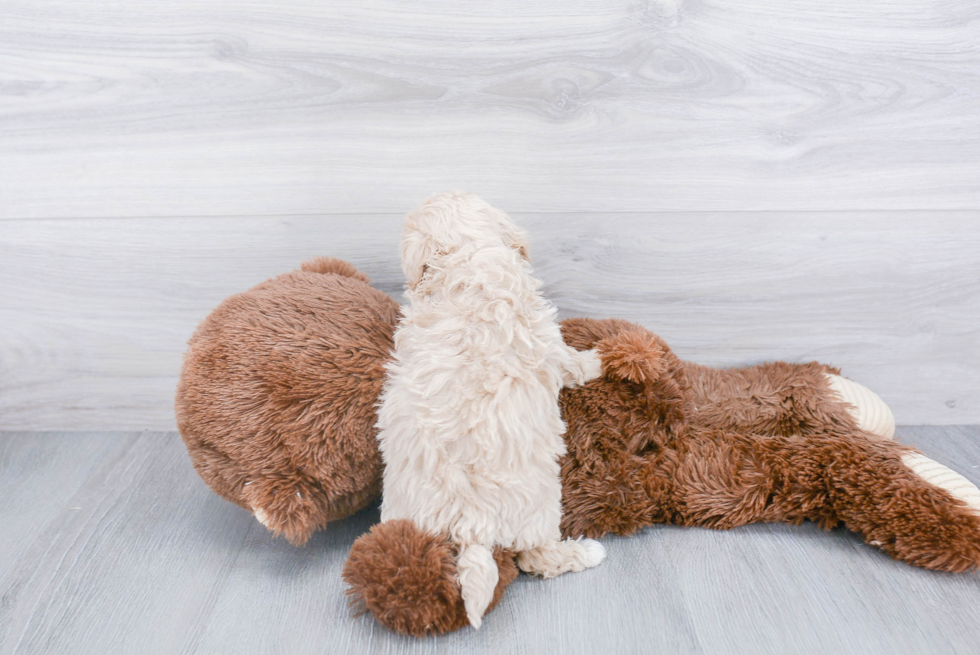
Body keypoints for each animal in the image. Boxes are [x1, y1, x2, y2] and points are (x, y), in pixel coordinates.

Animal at [378, 193, 608, 632]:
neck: (468, 257)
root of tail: (471, 526)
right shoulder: (548, 342)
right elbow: (570, 362)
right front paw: (596, 361)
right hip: (542, 505)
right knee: (537, 557)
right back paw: (587, 553)